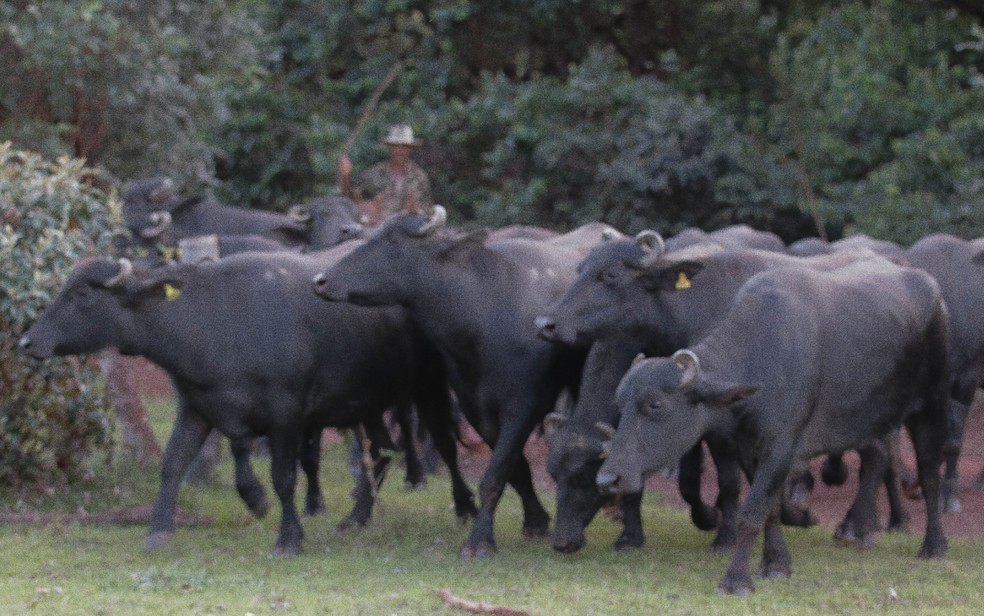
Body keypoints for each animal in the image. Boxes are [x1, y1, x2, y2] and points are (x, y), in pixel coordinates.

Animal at [18, 248, 472, 556]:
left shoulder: (287, 416)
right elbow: (175, 464)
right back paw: (355, 518)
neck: (213, 323)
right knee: (381, 452)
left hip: (429, 385)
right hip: (368, 400)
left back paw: (465, 507)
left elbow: (284, 477)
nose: (27, 341)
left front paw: (289, 537)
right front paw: (159, 530)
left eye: (82, 294)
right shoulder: (197, 408)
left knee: (444, 445)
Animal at [316, 207, 608, 560]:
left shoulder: (524, 406)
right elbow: (516, 469)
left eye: (392, 241)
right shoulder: (476, 408)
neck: (484, 316)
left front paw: (480, 541)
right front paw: (535, 520)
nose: (321, 280)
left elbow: (495, 474)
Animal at [596, 258, 948, 596]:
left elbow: (751, 513)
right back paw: (857, 530)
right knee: (879, 455)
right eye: (620, 404)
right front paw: (777, 562)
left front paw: (737, 580)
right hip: (870, 416)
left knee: (930, 474)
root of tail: (934, 291)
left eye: (655, 404)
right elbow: (771, 509)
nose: (608, 479)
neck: (765, 357)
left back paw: (933, 545)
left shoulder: (781, 446)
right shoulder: (747, 447)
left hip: (931, 406)